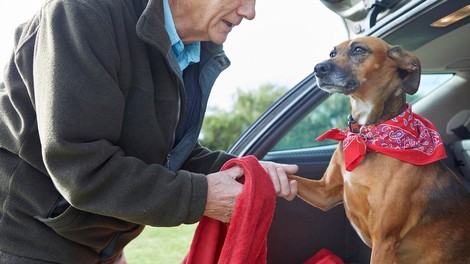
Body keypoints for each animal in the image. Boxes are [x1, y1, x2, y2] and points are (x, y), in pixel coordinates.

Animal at [290, 37, 470, 264]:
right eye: (332, 53)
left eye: (359, 49)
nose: (318, 68)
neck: (365, 135)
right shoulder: (325, 192)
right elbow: (287, 175)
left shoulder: (384, 240)